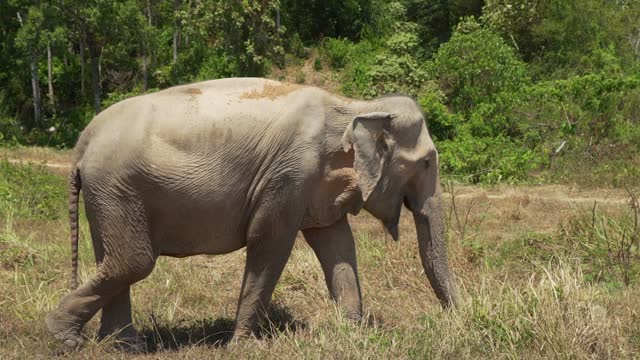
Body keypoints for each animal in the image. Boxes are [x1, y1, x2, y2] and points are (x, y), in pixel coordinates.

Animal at [45, 78, 458, 352]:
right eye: (426, 162)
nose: (452, 318)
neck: (355, 106)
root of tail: (82, 142)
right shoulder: (289, 174)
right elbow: (269, 242)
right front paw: (241, 346)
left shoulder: (313, 184)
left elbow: (336, 244)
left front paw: (354, 334)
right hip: (116, 188)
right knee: (133, 261)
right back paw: (66, 339)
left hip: (109, 196)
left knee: (114, 259)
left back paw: (121, 348)